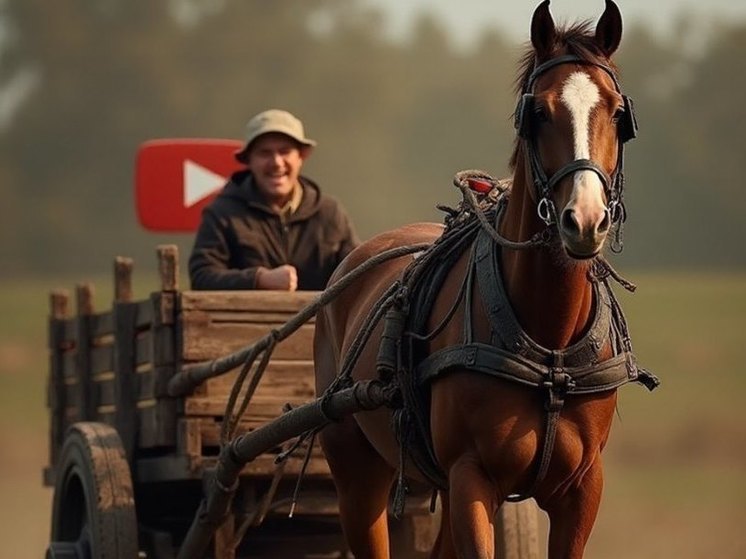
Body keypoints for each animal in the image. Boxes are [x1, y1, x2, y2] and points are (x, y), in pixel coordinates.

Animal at [310, 2, 652, 556]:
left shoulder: (583, 488)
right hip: (356, 473)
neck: (549, 346)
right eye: (539, 113)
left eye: (619, 115)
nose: (584, 220)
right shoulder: (472, 477)